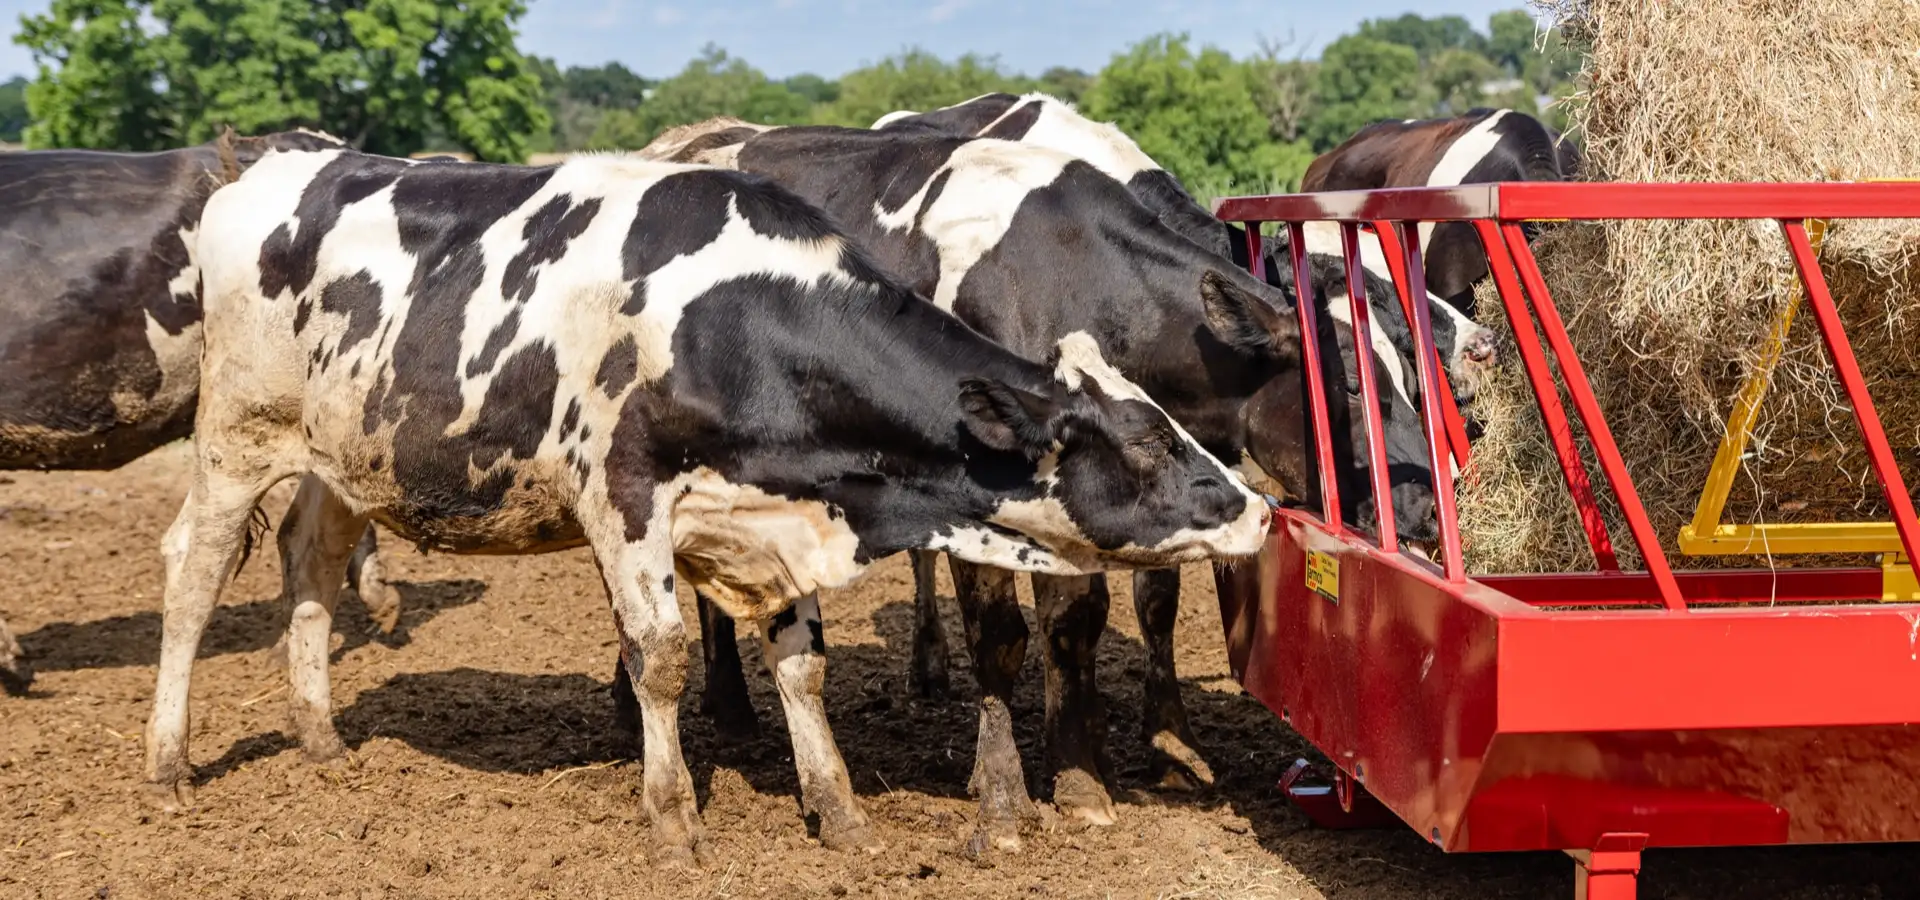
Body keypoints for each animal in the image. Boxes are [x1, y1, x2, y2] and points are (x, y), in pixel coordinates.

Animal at [152, 146, 1275, 865]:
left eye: (1168, 421)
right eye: (1144, 444)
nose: (1258, 513)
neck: (733, 319)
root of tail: (257, 171)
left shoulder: (779, 518)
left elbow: (803, 665)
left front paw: (838, 810)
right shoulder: (623, 497)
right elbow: (660, 657)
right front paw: (674, 817)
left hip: (344, 457)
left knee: (308, 563)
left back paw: (318, 735)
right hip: (235, 434)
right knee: (193, 575)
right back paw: (168, 762)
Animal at [639, 121, 1439, 849]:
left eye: (1412, 374)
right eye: (1355, 390)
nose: (1431, 505)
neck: (1067, 275)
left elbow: (1081, 622)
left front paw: (1088, 769)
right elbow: (1000, 638)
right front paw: (1003, 796)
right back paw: (700, 707)